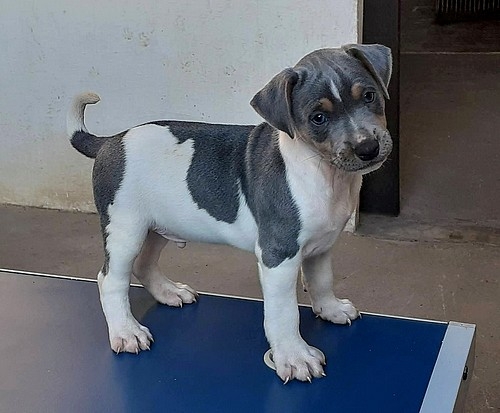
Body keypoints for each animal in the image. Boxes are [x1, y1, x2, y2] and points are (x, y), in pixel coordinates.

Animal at [66, 43, 392, 382]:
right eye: (318, 117)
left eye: (369, 96)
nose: (367, 148)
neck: (324, 171)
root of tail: (111, 141)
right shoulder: (279, 256)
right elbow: (284, 312)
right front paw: (294, 356)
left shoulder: (322, 246)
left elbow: (322, 280)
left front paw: (331, 309)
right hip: (124, 230)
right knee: (110, 280)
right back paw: (126, 332)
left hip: (156, 226)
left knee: (144, 265)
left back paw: (169, 292)